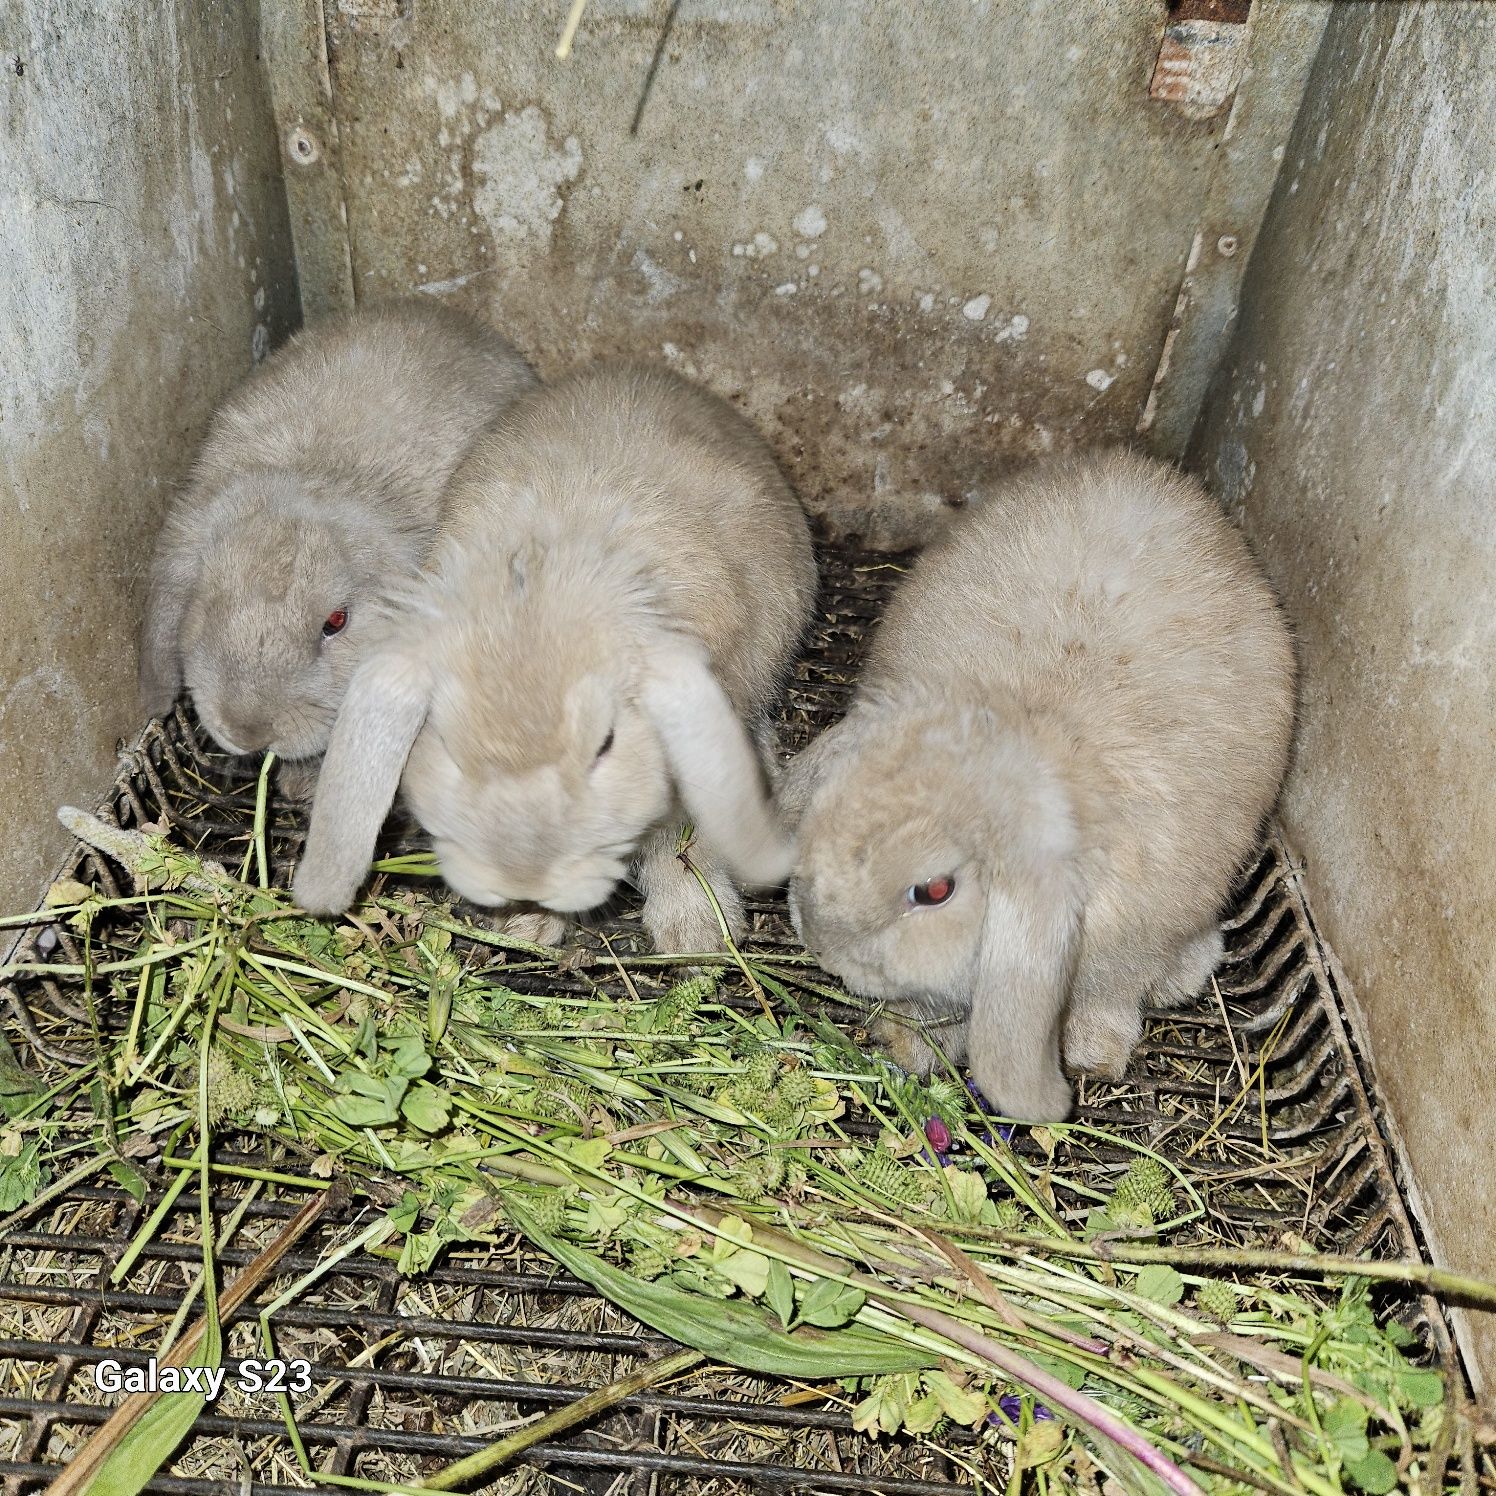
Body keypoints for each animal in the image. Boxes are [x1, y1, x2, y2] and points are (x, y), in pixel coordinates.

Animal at [285, 360, 813, 945]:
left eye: (605, 745)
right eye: (447, 744)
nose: (525, 879)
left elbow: (676, 841)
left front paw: (698, 933)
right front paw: (525, 926)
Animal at [783, 451, 1298, 1124]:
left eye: (935, 890)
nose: (824, 950)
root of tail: (1142, 474)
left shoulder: (1127, 944)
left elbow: (1108, 1001)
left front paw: (1094, 1058)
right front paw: (906, 1044)